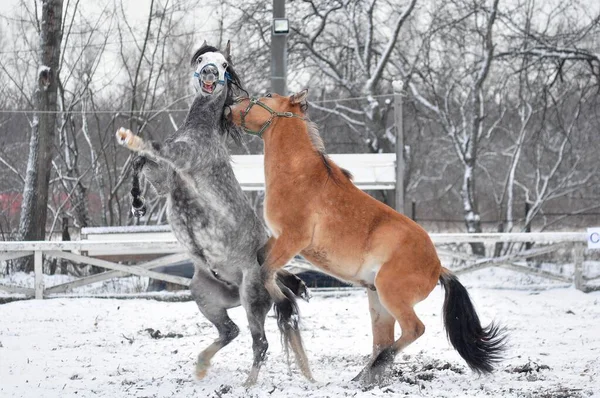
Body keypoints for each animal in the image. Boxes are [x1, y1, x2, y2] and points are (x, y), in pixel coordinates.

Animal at [117, 42, 314, 384]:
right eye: (200, 59)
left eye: (224, 65)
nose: (209, 74)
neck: (200, 130)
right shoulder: (165, 179)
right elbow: (142, 163)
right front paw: (137, 201)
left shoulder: (186, 158)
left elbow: (150, 149)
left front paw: (129, 139)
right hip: (205, 297)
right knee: (230, 331)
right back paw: (201, 365)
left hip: (251, 300)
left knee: (259, 343)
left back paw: (247, 385)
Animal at [225, 91, 506, 386]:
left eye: (267, 96)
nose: (230, 106)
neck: (300, 176)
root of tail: (438, 266)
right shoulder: (278, 239)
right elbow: (261, 259)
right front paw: (299, 286)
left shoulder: (293, 240)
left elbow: (267, 270)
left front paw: (286, 303)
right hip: (378, 304)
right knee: (383, 341)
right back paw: (364, 377)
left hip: (391, 295)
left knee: (413, 330)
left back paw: (373, 368)